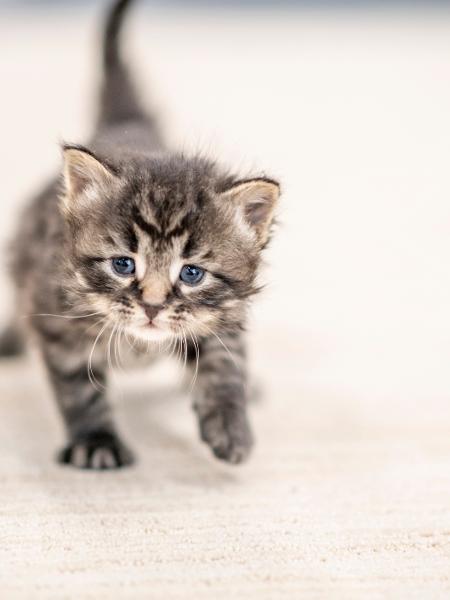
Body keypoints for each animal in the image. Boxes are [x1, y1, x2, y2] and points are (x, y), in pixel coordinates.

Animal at [0, 0, 282, 468]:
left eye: (191, 273)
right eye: (123, 264)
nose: (151, 306)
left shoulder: (222, 315)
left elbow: (224, 364)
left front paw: (230, 426)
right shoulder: (56, 319)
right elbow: (78, 388)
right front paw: (96, 440)